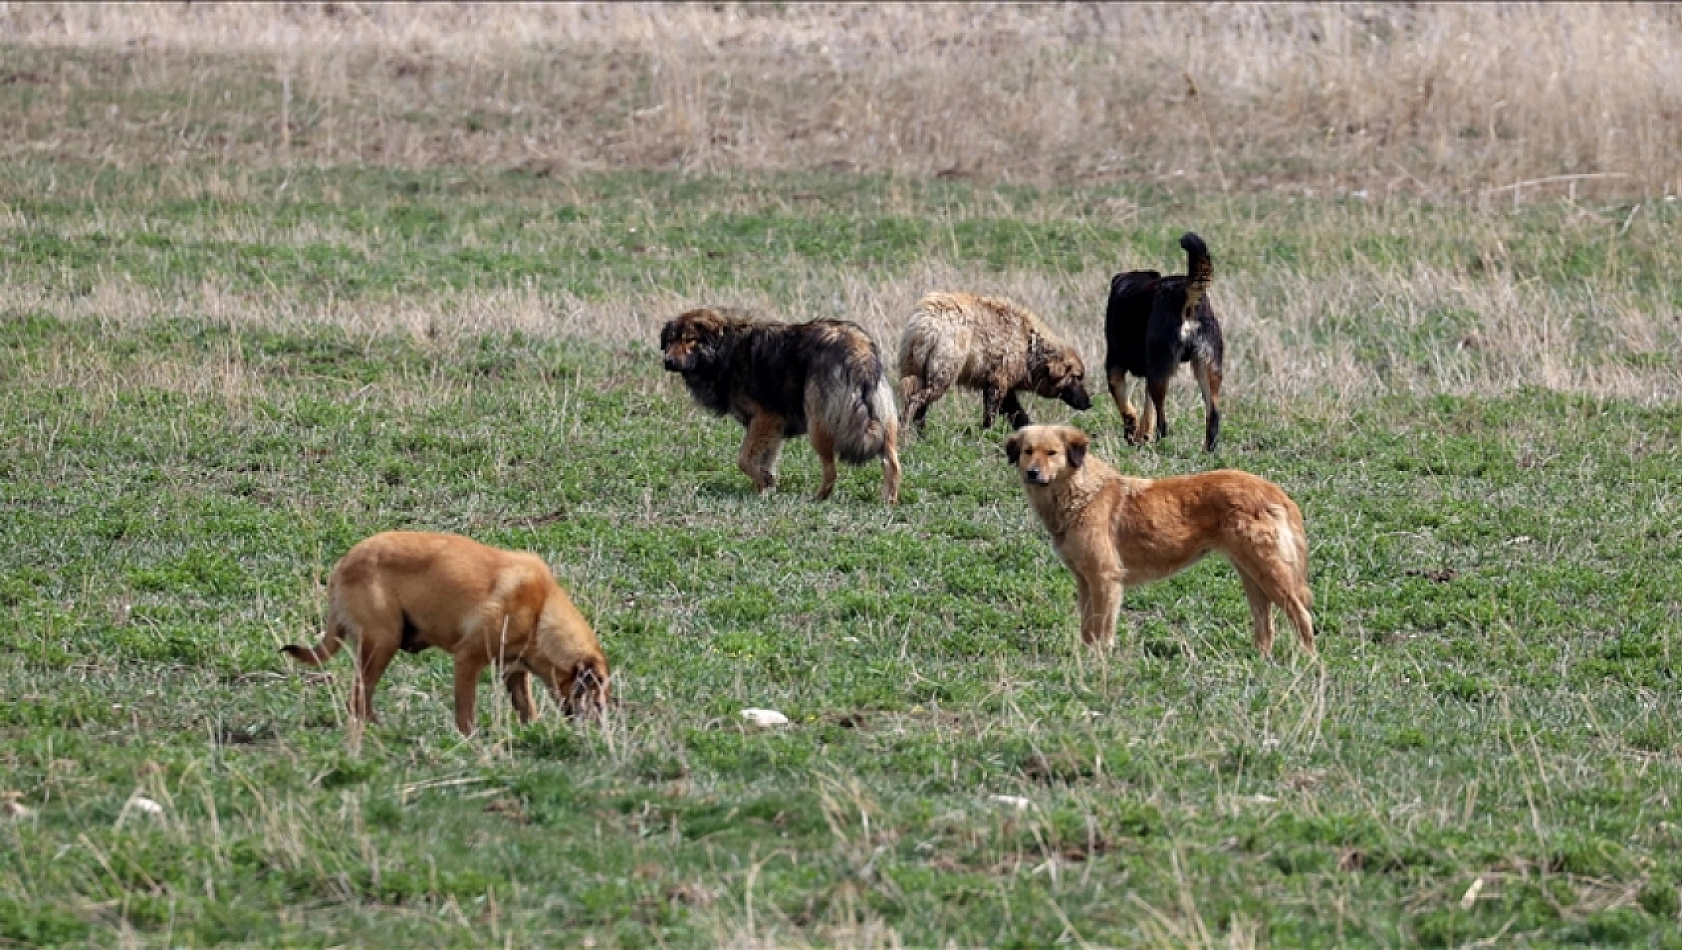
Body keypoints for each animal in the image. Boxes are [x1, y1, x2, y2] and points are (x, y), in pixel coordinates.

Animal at [655, 309, 901, 504]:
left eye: (689, 339)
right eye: (670, 341)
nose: (668, 362)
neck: (724, 350)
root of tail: (858, 348)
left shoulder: (766, 419)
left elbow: (743, 460)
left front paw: (766, 483)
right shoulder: (772, 429)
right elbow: (763, 461)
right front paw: (765, 490)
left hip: (818, 427)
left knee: (832, 471)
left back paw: (818, 498)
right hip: (885, 422)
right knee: (892, 463)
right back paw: (888, 501)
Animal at [901, 292, 1096, 433]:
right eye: (1077, 377)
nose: (1089, 403)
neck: (1029, 347)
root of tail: (925, 321)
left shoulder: (1004, 384)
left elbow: (1019, 415)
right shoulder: (998, 380)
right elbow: (992, 414)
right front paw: (987, 434)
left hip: (917, 370)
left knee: (917, 402)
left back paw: (919, 434)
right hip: (944, 373)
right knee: (916, 400)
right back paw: (908, 433)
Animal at [995, 423, 1311, 652]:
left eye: (1052, 453)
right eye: (1027, 451)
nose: (1032, 473)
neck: (1080, 493)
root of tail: (1274, 491)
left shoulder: (1105, 578)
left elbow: (1102, 629)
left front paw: (1100, 662)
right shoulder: (1085, 580)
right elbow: (1087, 628)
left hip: (1268, 572)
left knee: (1302, 615)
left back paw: (1307, 662)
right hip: (1251, 574)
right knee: (1266, 626)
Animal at [1103, 232, 1224, 450]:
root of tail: (1186, 293)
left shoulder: (1114, 365)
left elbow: (1126, 406)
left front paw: (1132, 433)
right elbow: (1146, 411)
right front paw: (1142, 436)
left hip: (1159, 369)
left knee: (1163, 419)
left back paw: (1161, 443)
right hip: (1207, 369)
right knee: (1213, 415)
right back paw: (1207, 450)